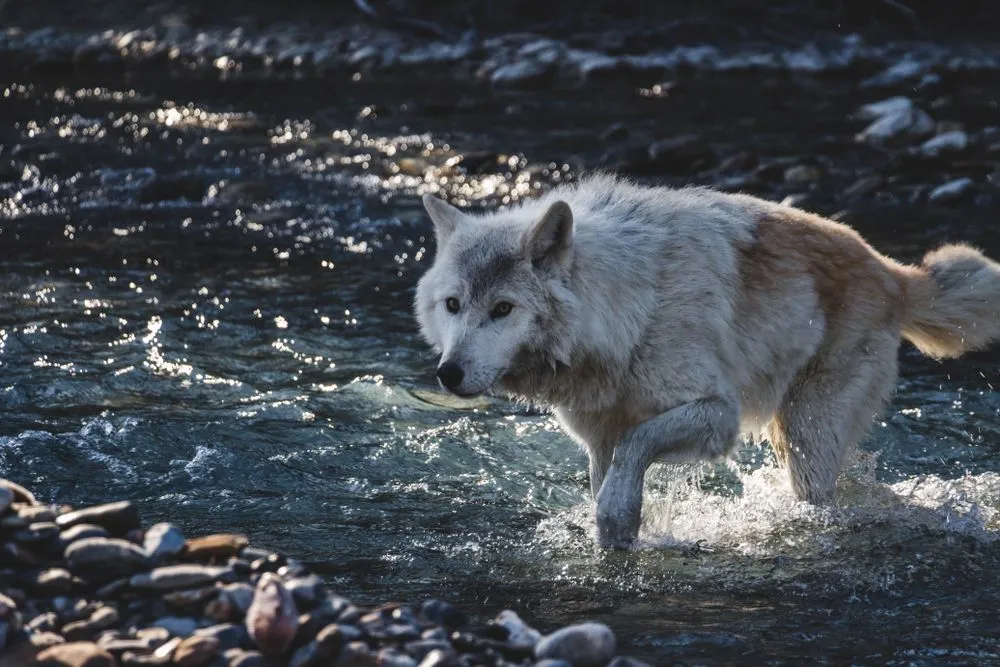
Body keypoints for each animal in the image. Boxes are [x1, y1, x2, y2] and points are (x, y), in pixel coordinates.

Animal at [413, 174, 1000, 548]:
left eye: (503, 309)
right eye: (453, 305)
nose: (449, 374)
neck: (625, 309)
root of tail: (894, 272)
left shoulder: (716, 416)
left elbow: (636, 445)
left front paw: (617, 517)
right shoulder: (598, 440)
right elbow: (616, 467)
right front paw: (618, 533)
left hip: (805, 434)